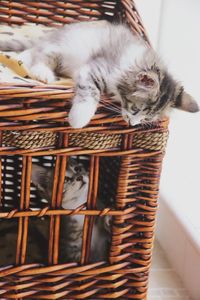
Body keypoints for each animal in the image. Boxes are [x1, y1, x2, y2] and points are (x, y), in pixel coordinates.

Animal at [0, 20, 198, 128]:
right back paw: (39, 71)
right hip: (63, 48)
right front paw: (78, 119)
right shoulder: (95, 67)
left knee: (35, 49)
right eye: (135, 109)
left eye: (147, 118)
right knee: (41, 53)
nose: (132, 124)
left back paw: (23, 59)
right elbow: (90, 92)